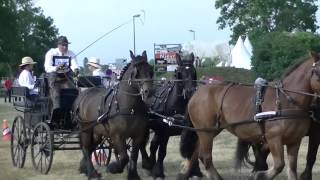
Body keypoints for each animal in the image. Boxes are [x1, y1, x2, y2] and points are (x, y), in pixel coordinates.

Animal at [74, 50, 154, 180]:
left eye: (150, 70)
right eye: (136, 72)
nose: (149, 92)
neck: (130, 109)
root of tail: (82, 95)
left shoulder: (138, 136)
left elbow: (134, 156)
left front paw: (133, 175)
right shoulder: (117, 136)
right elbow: (125, 157)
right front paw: (113, 168)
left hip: (97, 133)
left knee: (91, 148)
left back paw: (85, 168)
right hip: (86, 130)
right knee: (86, 148)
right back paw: (92, 173)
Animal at [179, 52, 320, 180]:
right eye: (317, 72)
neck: (287, 100)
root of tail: (197, 92)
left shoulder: (295, 141)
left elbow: (292, 169)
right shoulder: (273, 138)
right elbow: (279, 165)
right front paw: (258, 175)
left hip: (209, 130)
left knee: (197, 153)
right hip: (206, 132)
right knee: (206, 157)